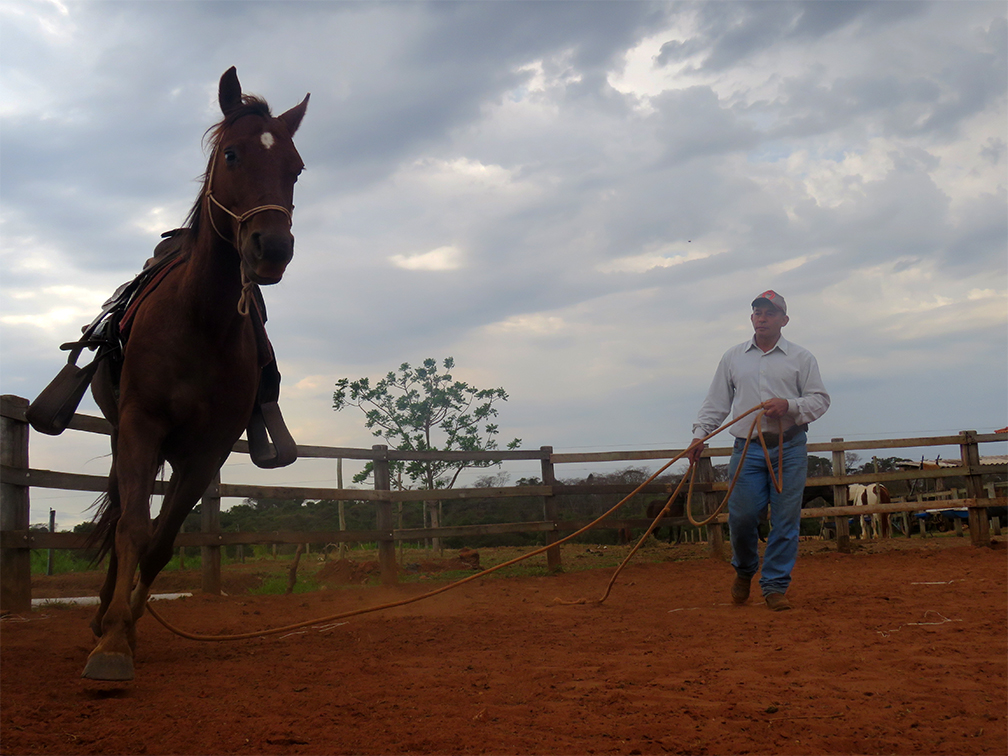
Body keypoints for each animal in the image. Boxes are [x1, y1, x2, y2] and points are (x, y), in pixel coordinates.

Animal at [80, 68, 306, 681]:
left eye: (296, 167)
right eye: (232, 154)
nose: (272, 247)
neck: (200, 321)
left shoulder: (209, 450)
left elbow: (161, 542)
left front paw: (129, 628)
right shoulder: (140, 426)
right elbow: (134, 528)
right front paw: (112, 641)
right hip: (124, 435)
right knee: (120, 515)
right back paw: (101, 615)